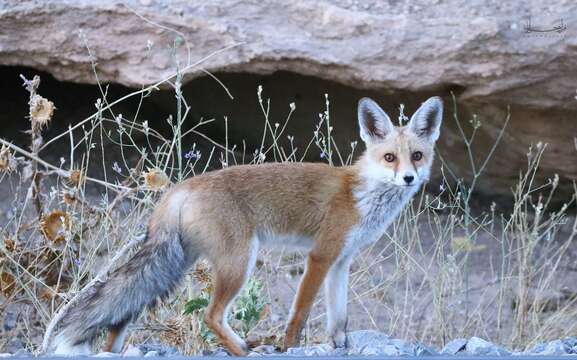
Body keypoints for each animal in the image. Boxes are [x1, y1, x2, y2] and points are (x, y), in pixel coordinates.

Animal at [49, 96, 444, 358]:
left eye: (417, 156)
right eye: (390, 157)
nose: (409, 178)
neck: (360, 194)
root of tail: (179, 188)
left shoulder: (341, 262)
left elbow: (339, 320)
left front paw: (341, 346)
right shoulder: (320, 256)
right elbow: (299, 315)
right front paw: (288, 347)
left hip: (176, 264)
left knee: (122, 314)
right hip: (239, 262)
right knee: (210, 315)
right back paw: (241, 349)